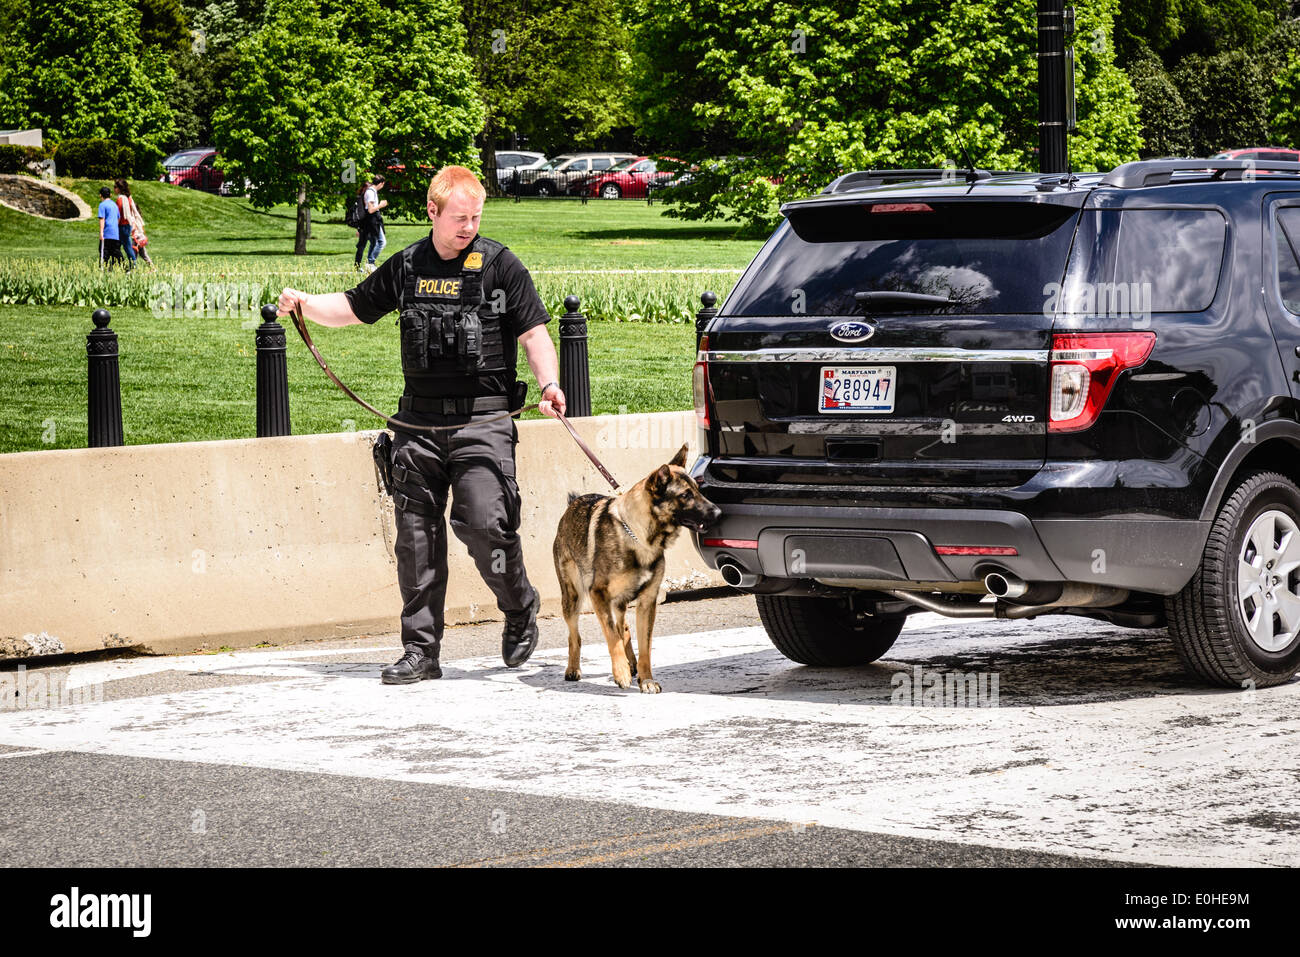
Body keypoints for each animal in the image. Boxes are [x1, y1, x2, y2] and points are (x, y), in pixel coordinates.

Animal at [553, 444, 728, 691]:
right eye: (685, 495)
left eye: (697, 489)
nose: (719, 513)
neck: (639, 536)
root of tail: (573, 504)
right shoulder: (598, 595)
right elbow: (611, 638)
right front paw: (621, 673)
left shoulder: (647, 603)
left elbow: (644, 646)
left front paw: (646, 679)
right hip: (573, 597)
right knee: (575, 635)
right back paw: (574, 668)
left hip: (618, 602)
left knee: (623, 628)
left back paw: (631, 663)